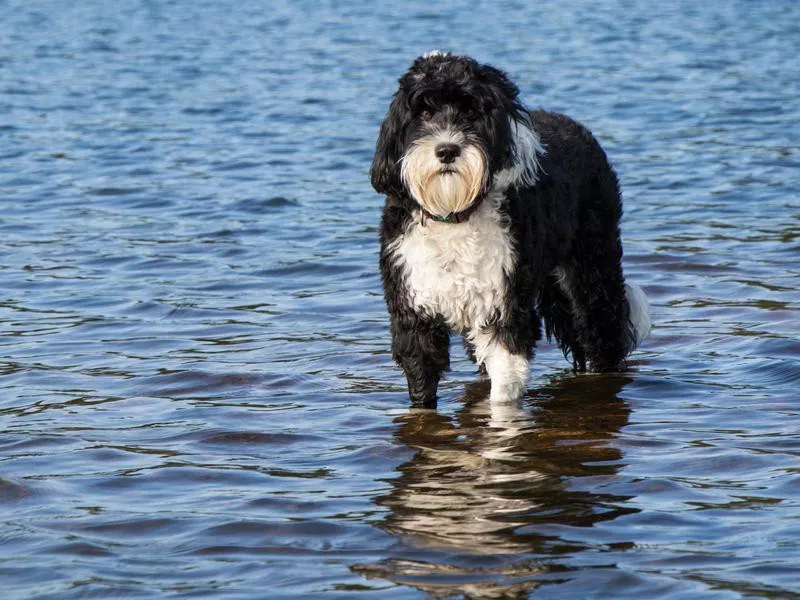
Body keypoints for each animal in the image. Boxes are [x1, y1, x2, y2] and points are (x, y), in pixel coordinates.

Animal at [370, 51, 648, 408]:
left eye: (471, 112)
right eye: (425, 112)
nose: (447, 150)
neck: (455, 213)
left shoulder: (505, 307)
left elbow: (503, 389)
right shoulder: (414, 314)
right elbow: (422, 381)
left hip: (591, 270)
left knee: (603, 331)